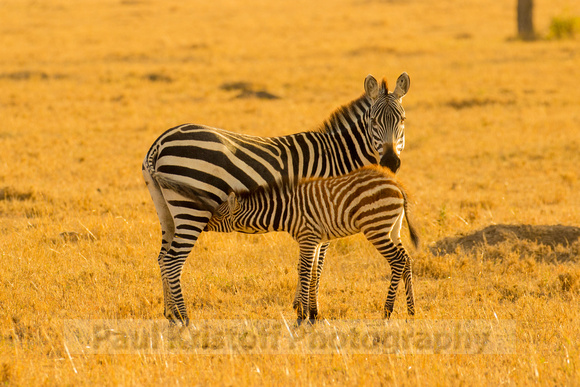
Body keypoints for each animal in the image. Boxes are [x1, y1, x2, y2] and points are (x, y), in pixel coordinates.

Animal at [206, 165, 420, 322]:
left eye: (218, 215)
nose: (204, 225)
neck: (286, 211)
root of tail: (396, 184)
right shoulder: (315, 239)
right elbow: (312, 270)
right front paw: (312, 311)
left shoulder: (308, 237)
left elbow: (305, 270)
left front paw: (304, 314)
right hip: (392, 227)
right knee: (407, 259)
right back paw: (411, 310)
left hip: (376, 226)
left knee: (397, 260)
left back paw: (387, 310)